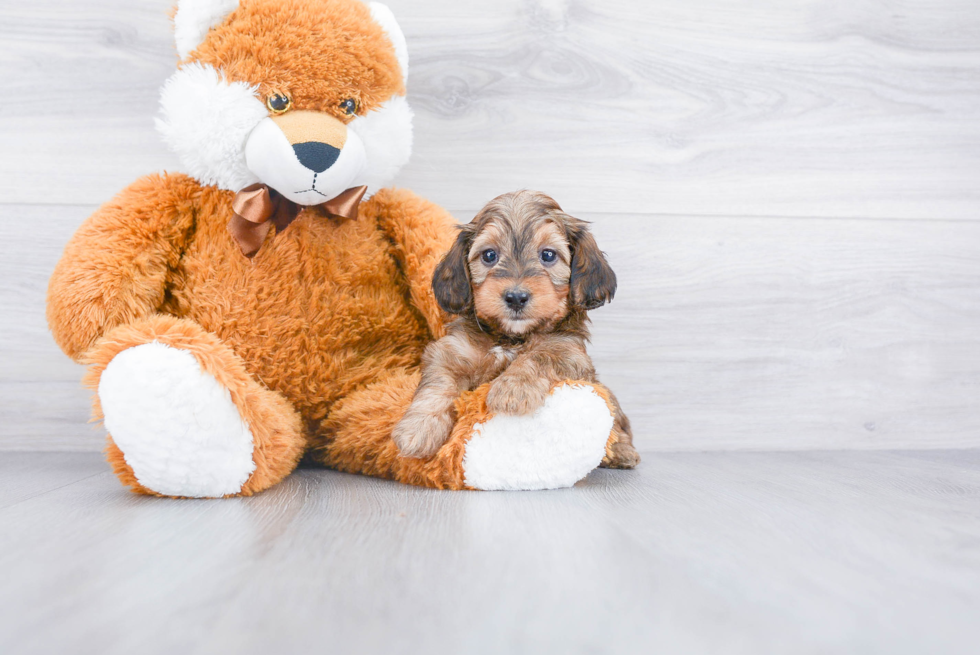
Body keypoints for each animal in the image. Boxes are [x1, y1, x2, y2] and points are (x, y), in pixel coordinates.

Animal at [394, 188, 640, 466]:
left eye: (548, 255)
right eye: (489, 255)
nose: (515, 297)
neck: (511, 337)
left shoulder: (568, 351)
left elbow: (538, 356)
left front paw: (513, 390)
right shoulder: (450, 352)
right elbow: (437, 384)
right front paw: (418, 429)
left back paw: (621, 451)